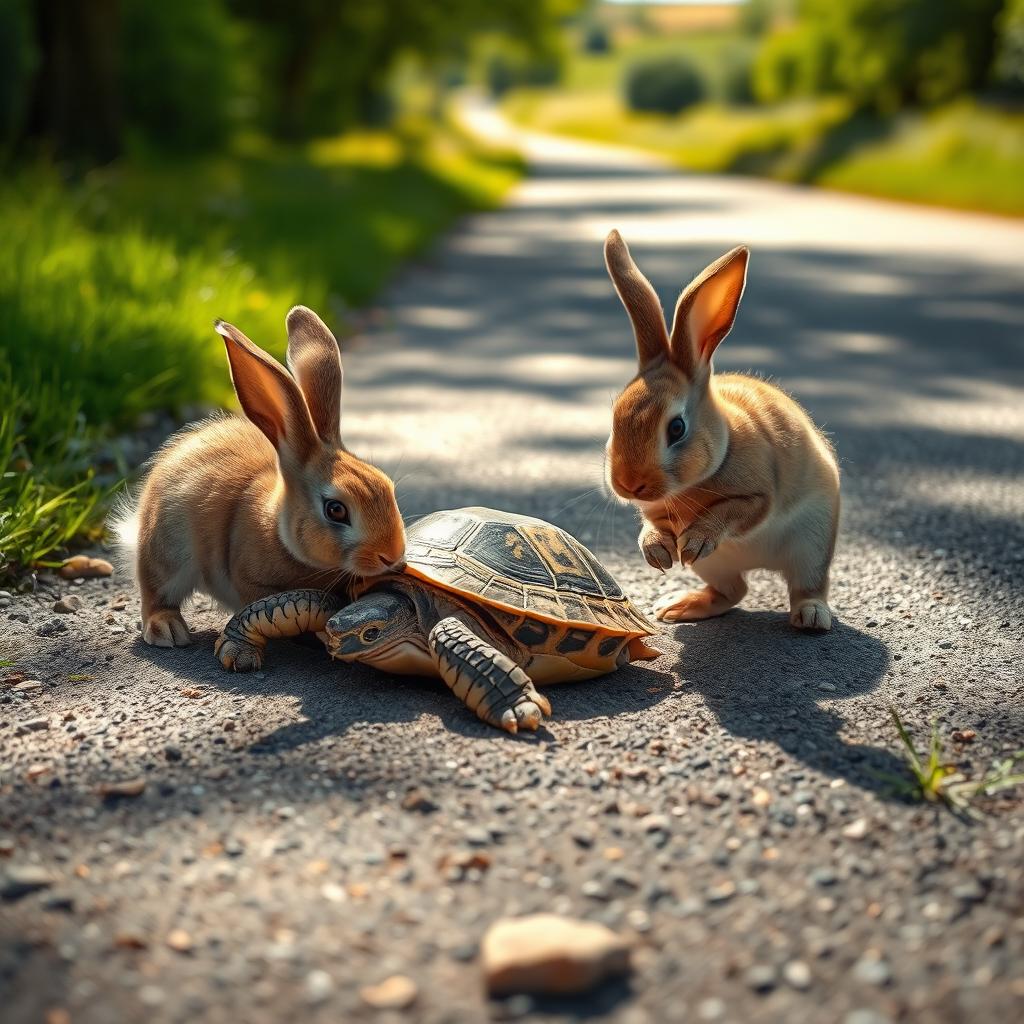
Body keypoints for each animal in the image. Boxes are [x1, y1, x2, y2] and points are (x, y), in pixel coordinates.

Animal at [115, 306, 406, 649]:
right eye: (336, 510)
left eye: (387, 486)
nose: (392, 555)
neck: (279, 530)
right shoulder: (250, 580)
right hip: (168, 549)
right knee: (156, 592)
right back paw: (167, 630)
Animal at [602, 230, 840, 631]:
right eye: (614, 418)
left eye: (677, 428)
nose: (628, 484)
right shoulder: (657, 513)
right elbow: (652, 526)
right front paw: (657, 552)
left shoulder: (759, 495)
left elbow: (737, 511)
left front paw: (695, 538)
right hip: (716, 566)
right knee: (735, 591)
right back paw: (679, 607)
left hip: (813, 542)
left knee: (806, 586)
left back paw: (811, 618)